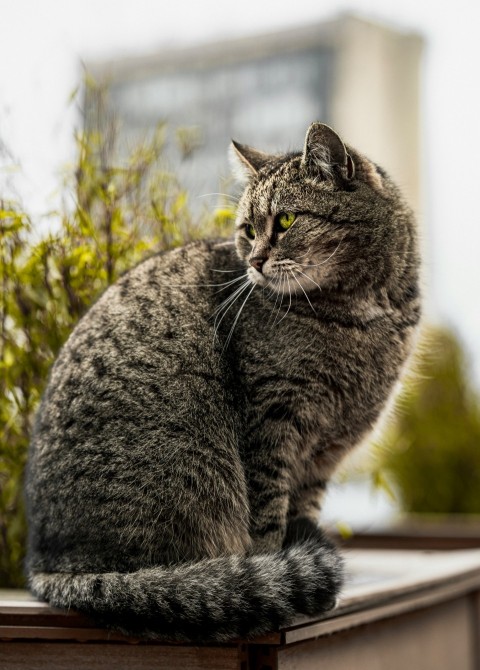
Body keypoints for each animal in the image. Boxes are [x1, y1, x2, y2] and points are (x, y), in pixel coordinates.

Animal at [24, 123, 420, 644]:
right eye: (248, 229)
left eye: (286, 220)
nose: (254, 261)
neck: (361, 316)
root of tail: (51, 569)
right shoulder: (273, 420)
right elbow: (269, 516)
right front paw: (276, 569)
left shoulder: (323, 454)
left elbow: (302, 510)